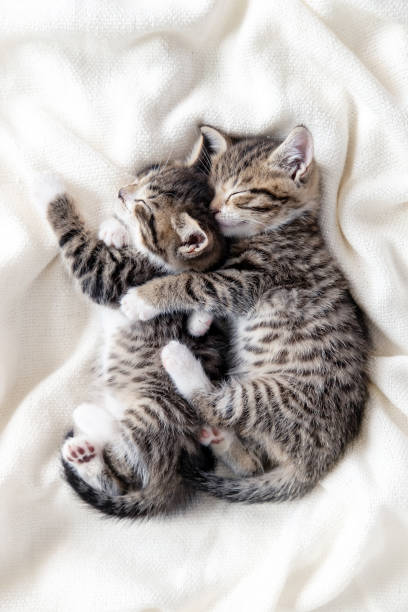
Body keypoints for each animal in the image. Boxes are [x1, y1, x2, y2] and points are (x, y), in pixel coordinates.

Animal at [34, 148, 258, 516]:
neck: (155, 263)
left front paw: (49, 188)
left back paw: (90, 424)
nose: (121, 192)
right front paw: (114, 229)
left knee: (128, 465)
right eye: (141, 178)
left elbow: (79, 246)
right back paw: (84, 455)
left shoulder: (112, 276)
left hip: (158, 410)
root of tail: (178, 470)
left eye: (144, 207)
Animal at [120, 123, 370, 502]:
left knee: (216, 404)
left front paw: (141, 300)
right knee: (252, 462)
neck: (289, 226)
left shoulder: (248, 278)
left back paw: (178, 359)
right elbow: (208, 292)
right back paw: (222, 441)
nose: (213, 210)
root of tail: (317, 463)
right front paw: (199, 322)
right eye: (212, 189)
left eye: (238, 193)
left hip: (276, 397)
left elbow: (193, 282)